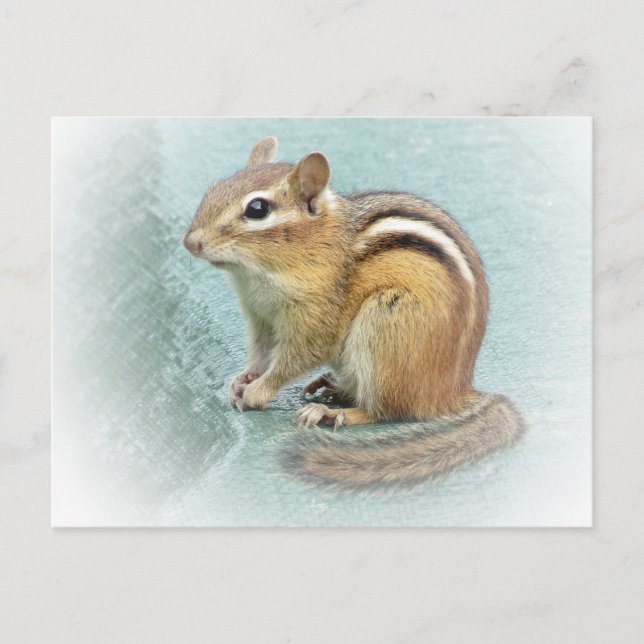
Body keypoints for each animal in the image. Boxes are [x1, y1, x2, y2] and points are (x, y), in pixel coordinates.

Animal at [183, 136, 525, 490]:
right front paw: (242, 379)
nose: (190, 242)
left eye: (257, 209)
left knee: (388, 411)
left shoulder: (316, 317)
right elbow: (261, 353)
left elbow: (295, 358)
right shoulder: (260, 315)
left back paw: (333, 413)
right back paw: (334, 389)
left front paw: (257, 392)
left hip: (385, 322)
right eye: (215, 188)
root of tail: (453, 392)